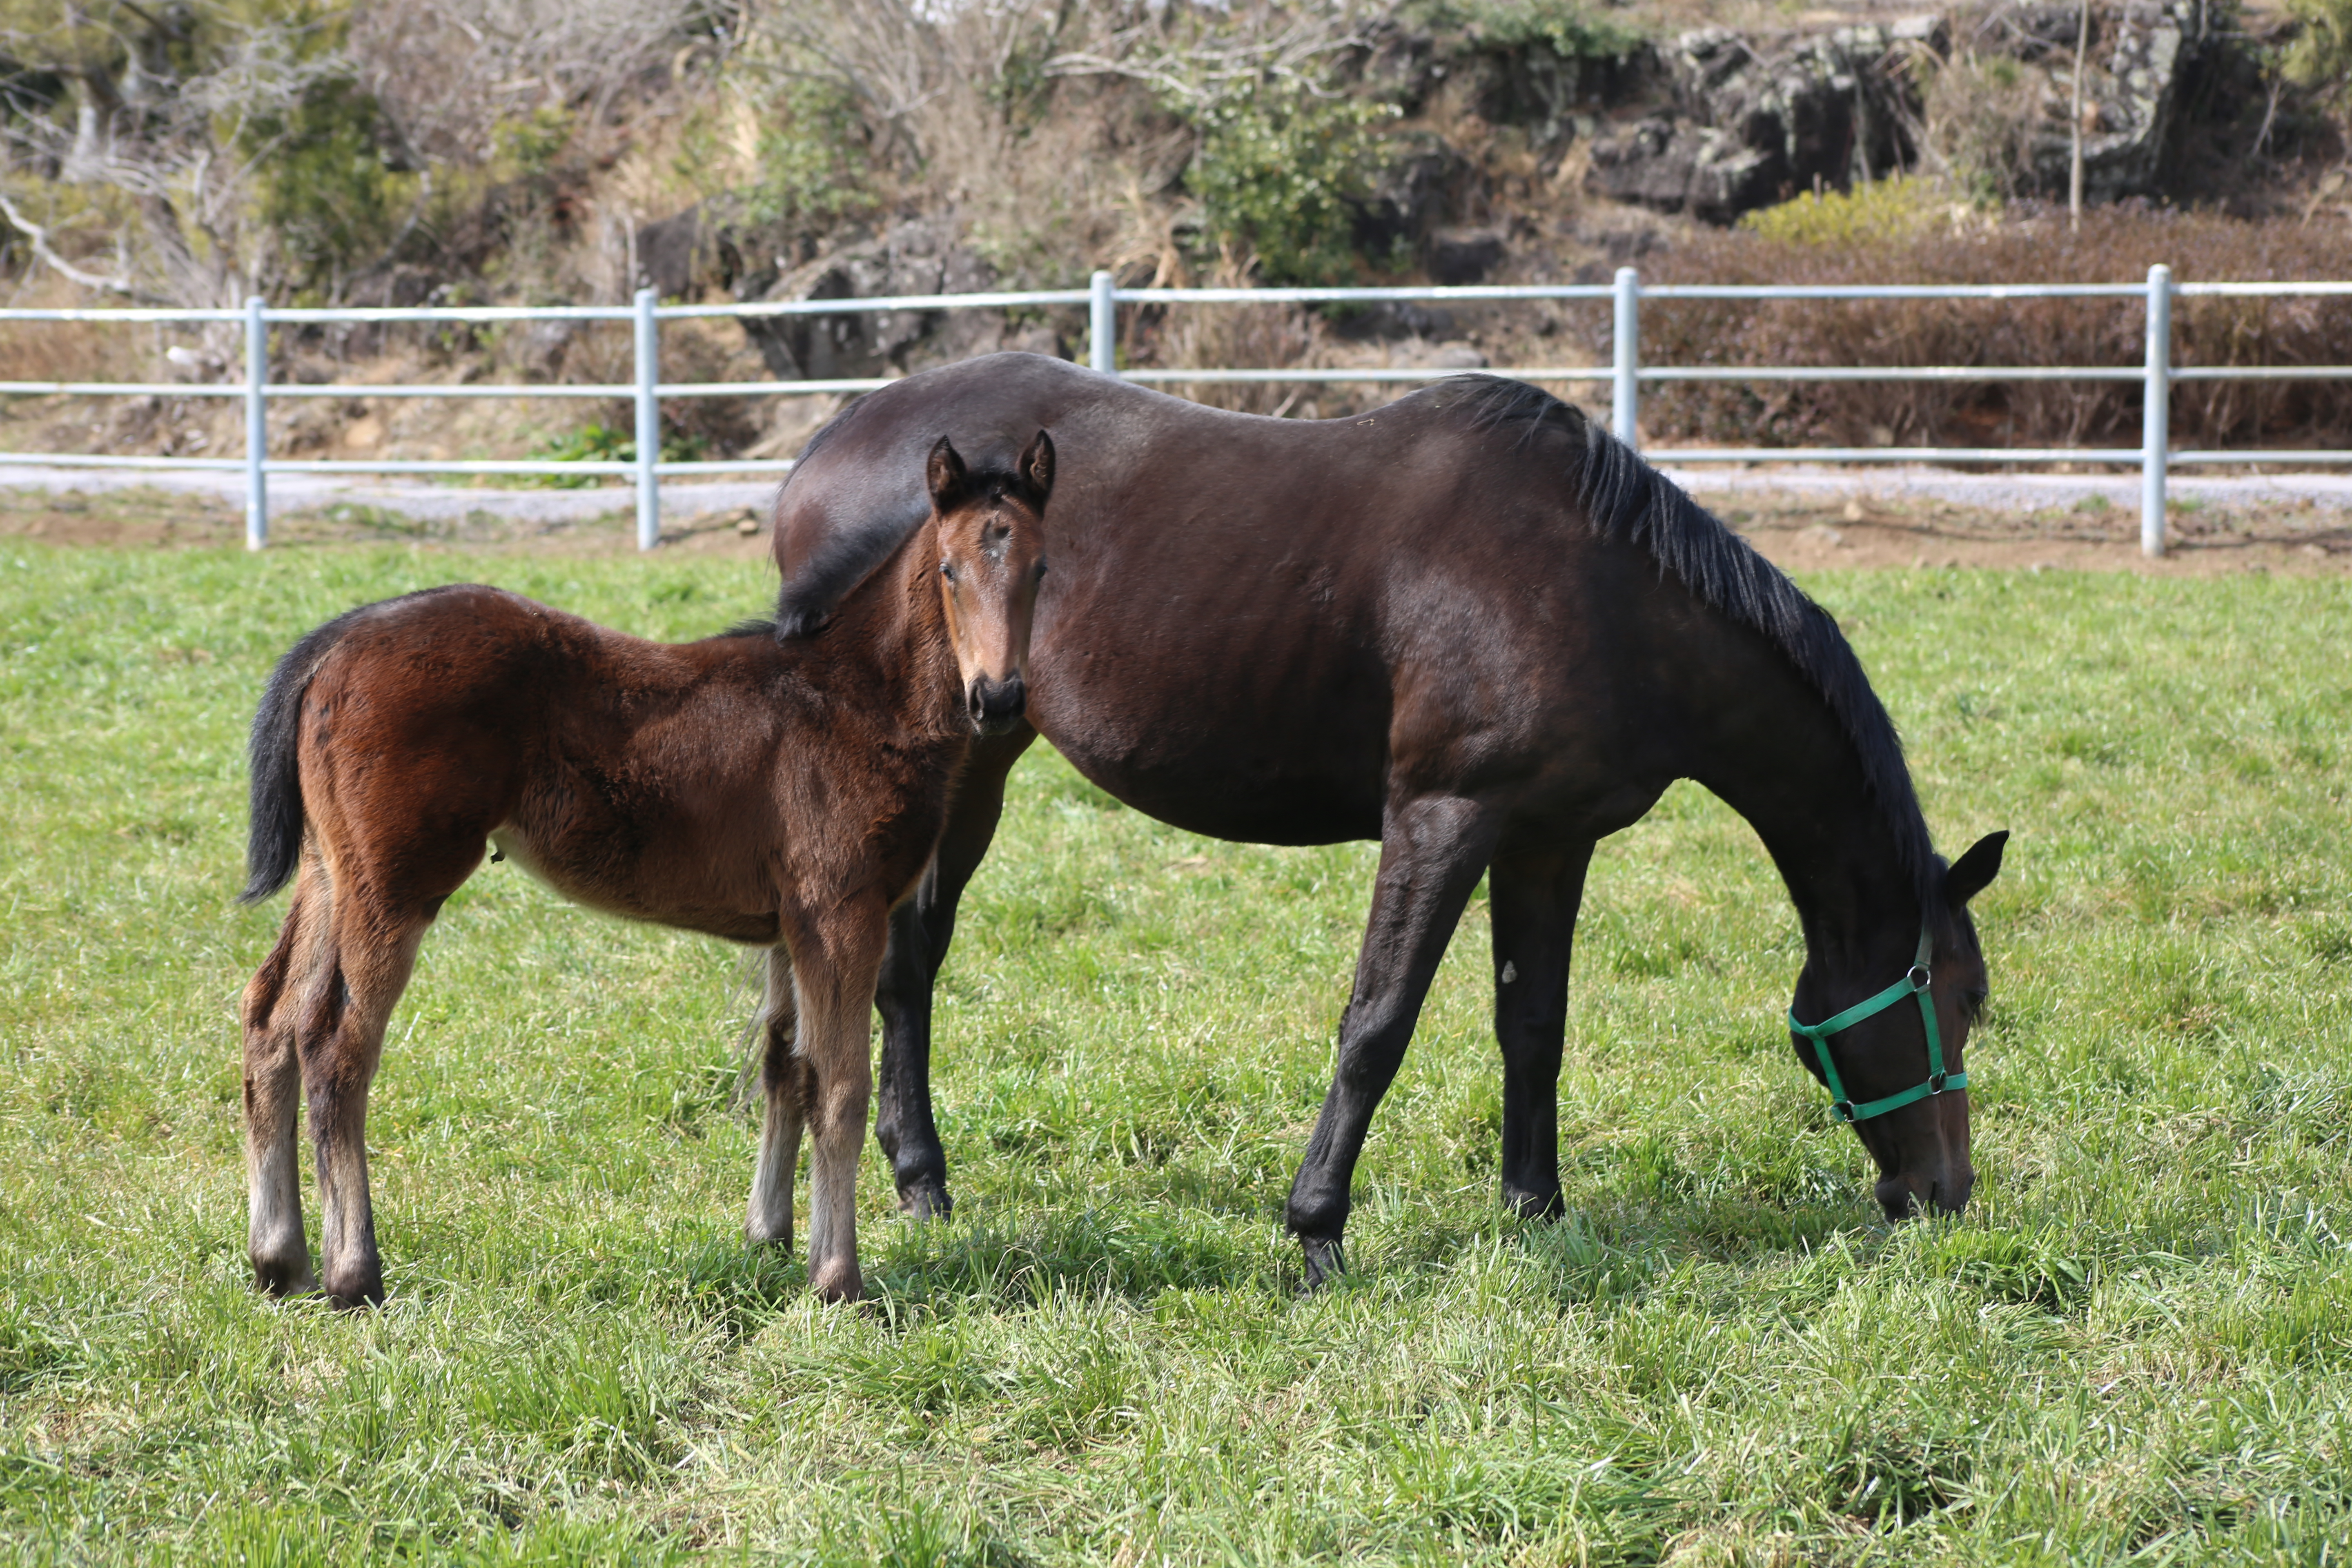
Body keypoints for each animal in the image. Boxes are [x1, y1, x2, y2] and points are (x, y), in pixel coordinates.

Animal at [236, 432, 1049, 1316]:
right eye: (950, 570)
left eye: (1041, 568)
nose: (999, 699)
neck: (854, 695)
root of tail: (334, 643)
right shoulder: (843, 914)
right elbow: (838, 1087)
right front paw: (839, 1281)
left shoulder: (788, 926)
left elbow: (782, 1069)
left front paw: (769, 1241)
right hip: (397, 885)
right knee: (336, 1048)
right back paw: (354, 1276)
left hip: (332, 873)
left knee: (270, 1022)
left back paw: (279, 1262)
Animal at [771, 355, 2004, 1288]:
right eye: (1960, 999)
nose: (1945, 1193)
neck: (1601, 589)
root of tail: (822, 451)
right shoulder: (1443, 816)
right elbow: (1377, 1024)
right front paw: (1316, 1227)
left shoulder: (1548, 839)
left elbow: (1533, 1025)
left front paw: (1535, 1207)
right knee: (900, 964)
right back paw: (913, 1183)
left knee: (907, 967)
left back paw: (920, 1182)